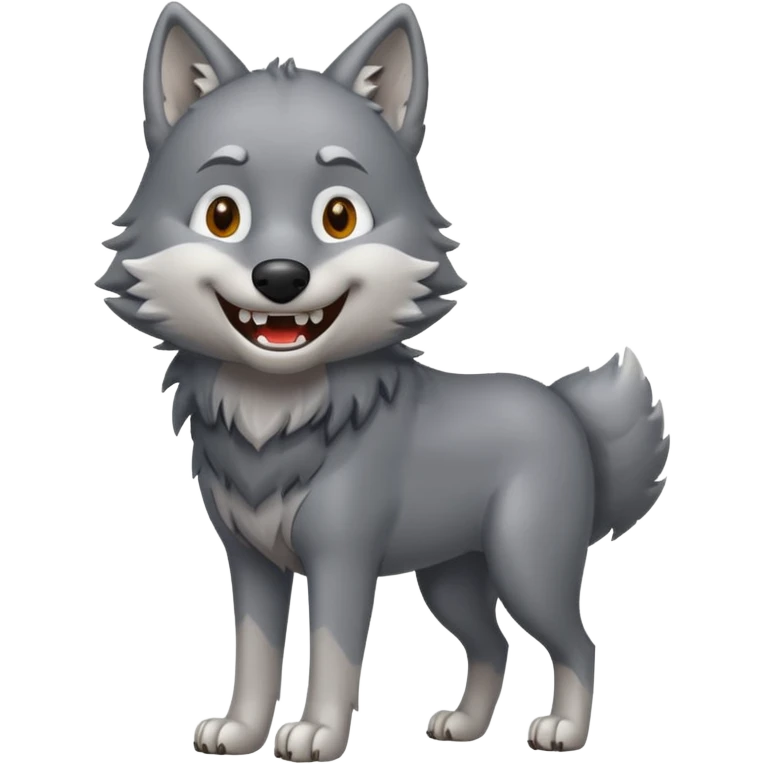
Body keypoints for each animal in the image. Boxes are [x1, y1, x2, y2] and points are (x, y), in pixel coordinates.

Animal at [96, 1, 671, 758]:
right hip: (451, 577)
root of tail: (560, 403)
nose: (280, 278)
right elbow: (255, 655)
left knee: (579, 643)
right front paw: (242, 730)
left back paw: (565, 730)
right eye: (223, 214)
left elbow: (333, 658)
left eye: (339, 216)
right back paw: (464, 727)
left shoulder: (343, 559)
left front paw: (315, 733)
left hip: (526, 567)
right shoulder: (250, 563)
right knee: (492, 647)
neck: (275, 414)